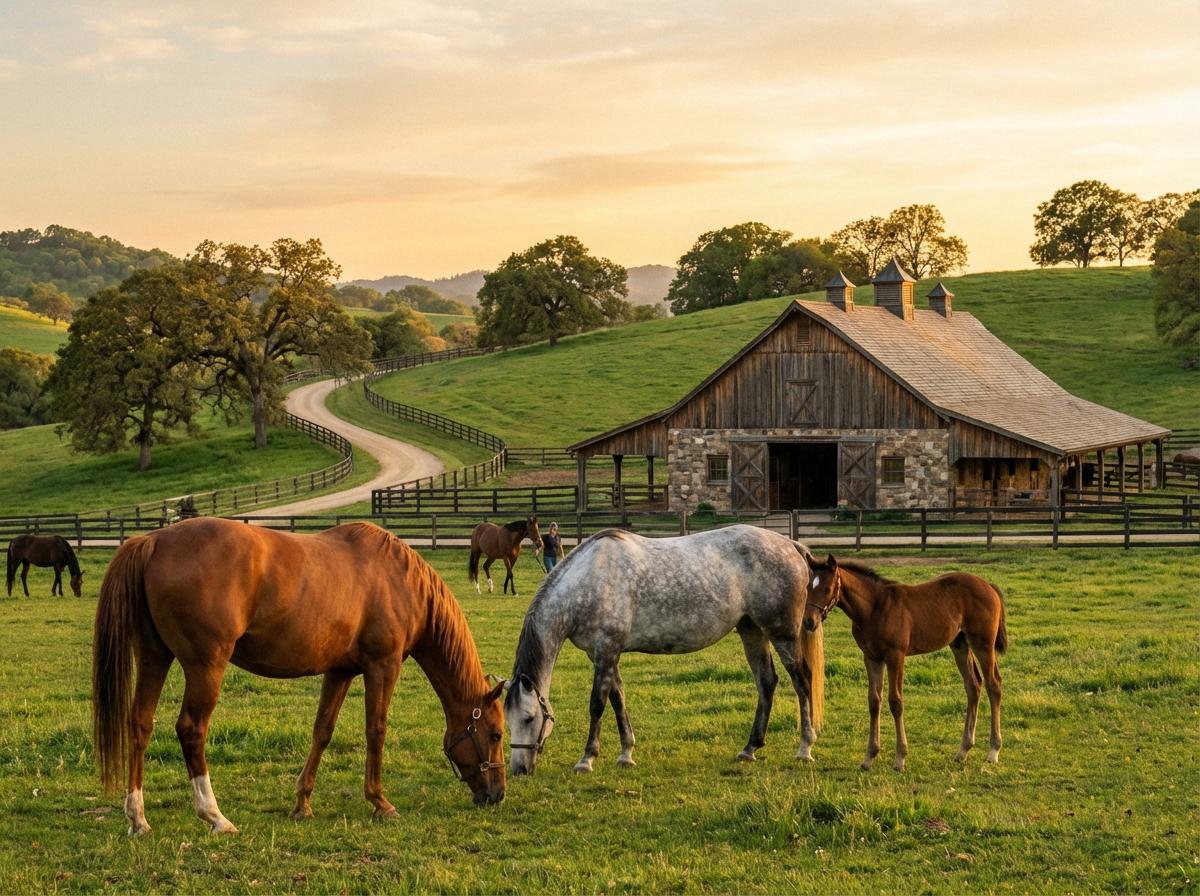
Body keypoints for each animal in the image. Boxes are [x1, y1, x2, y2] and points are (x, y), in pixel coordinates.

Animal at [92, 517, 506, 837]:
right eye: (497, 735)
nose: (497, 794)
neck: (398, 578)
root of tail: (154, 540)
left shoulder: (340, 670)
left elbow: (322, 731)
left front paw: (302, 803)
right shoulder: (383, 666)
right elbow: (376, 730)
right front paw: (380, 801)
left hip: (154, 657)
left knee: (140, 724)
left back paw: (138, 819)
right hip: (205, 665)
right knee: (191, 730)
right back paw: (215, 816)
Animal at [505, 525, 825, 775]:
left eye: (529, 718)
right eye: (507, 720)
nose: (519, 769)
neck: (588, 579)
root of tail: (790, 545)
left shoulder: (606, 651)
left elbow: (597, 704)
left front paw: (587, 759)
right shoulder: (605, 655)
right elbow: (618, 699)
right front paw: (626, 754)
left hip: (782, 634)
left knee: (801, 681)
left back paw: (805, 748)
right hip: (752, 631)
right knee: (766, 682)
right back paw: (750, 748)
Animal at [802, 553, 1008, 771]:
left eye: (827, 588)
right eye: (807, 587)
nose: (809, 621)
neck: (874, 608)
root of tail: (989, 586)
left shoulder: (896, 656)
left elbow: (896, 701)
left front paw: (900, 758)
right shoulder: (872, 657)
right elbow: (874, 701)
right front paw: (869, 757)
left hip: (983, 644)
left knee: (994, 685)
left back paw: (993, 751)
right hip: (959, 644)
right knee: (973, 685)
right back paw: (963, 751)